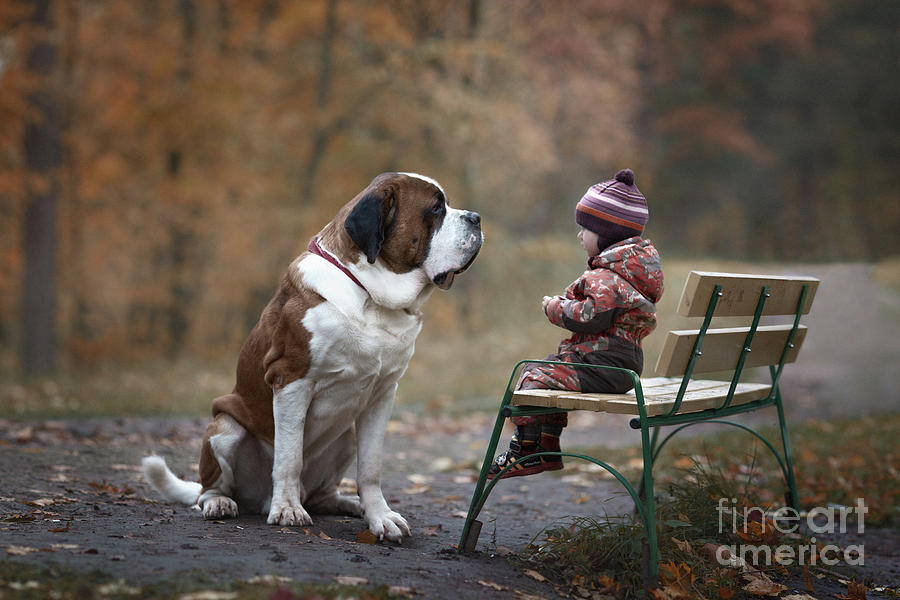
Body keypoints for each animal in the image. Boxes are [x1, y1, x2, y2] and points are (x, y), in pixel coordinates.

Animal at [141, 171, 482, 540]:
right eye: (435, 209)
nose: (476, 218)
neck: (369, 296)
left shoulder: (382, 395)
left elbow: (371, 468)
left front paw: (380, 517)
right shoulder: (291, 380)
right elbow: (289, 457)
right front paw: (287, 509)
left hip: (347, 434)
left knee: (324, 493)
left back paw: (349, 503)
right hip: (225, 428)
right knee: (209, 488)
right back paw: (221, 502)